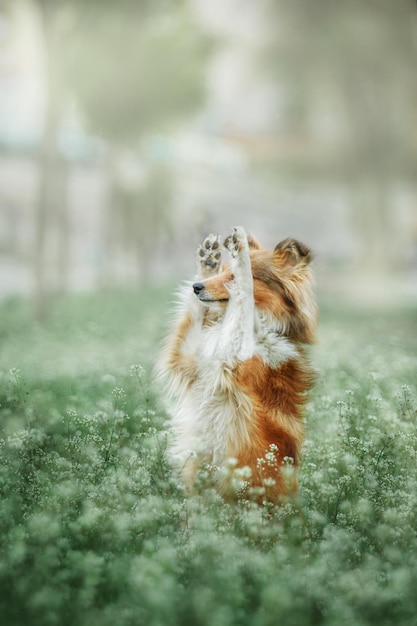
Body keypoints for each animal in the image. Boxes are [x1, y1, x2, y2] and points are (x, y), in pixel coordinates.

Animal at [158, 225, 316, 502]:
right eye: (222, 271)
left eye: (232, 276)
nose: (196, 287)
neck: (263, 328)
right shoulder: (193, 359)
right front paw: (209, 260)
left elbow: (245, 293)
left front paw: (240, 249)